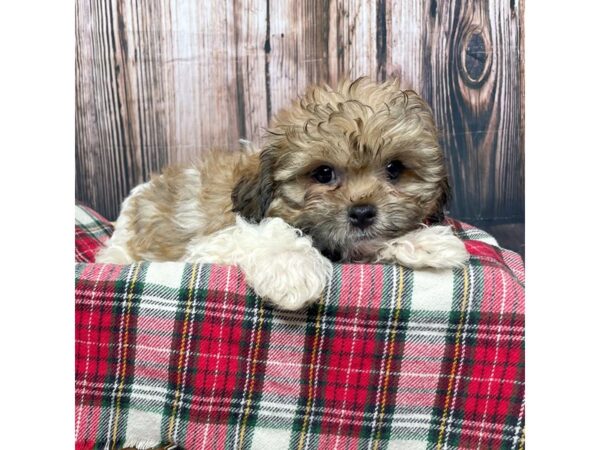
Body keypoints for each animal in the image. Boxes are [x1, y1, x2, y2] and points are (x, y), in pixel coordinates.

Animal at [96, 77, 468, 310]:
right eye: (323, 173)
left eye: (394, 168)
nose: (363, 212)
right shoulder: (213, 243)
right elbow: (270, 233)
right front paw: (293, 271)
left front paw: (426, 243)